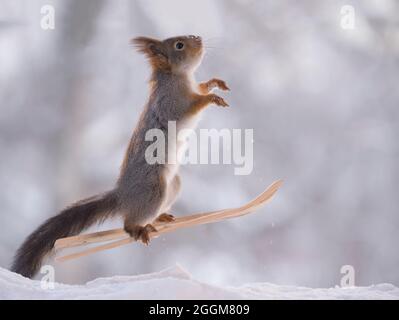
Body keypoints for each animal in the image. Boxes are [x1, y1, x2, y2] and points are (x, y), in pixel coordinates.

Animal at [10, 35, 230, 278]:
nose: (198, 38)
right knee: (128, 224)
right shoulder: (170, 103)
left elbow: (200, 87)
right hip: (153, 190)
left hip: (173, 185)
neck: (178, 76)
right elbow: (190, 106)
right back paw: (138, 230)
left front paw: (213, 83)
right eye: (179, 45)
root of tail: (123, 195)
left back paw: (159, 217)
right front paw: (211, 97)